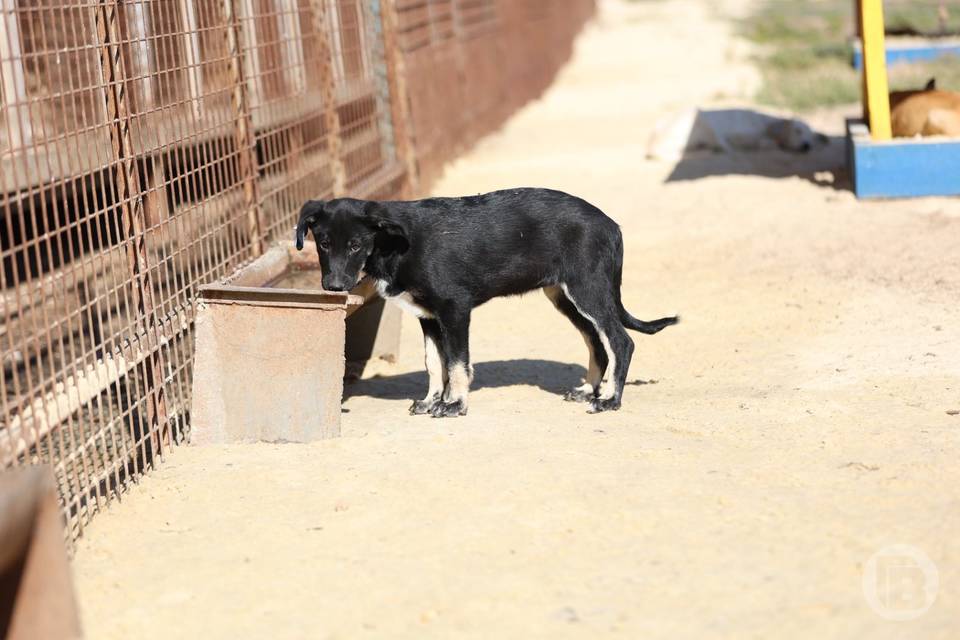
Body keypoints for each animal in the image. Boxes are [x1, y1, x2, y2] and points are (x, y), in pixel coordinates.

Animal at [296, 189, 680, 420]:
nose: (334, 286)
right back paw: (588, 390)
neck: (395, 244)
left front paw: (454, 404)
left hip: (589, 290)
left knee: (621, 341)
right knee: (597, 343)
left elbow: (457, 365)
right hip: (566, 297)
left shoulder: (455, 309)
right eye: (323, 243)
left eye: (356, 245)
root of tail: (611, 225)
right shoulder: (429, 317)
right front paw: (432, 400)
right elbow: (434, 364)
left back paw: (610, 399)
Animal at [644, 107, 832, 160]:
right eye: (797, 131)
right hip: (702, 119)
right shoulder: (735, 134)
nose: (807, 145)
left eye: (809, 136)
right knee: (721, 147)